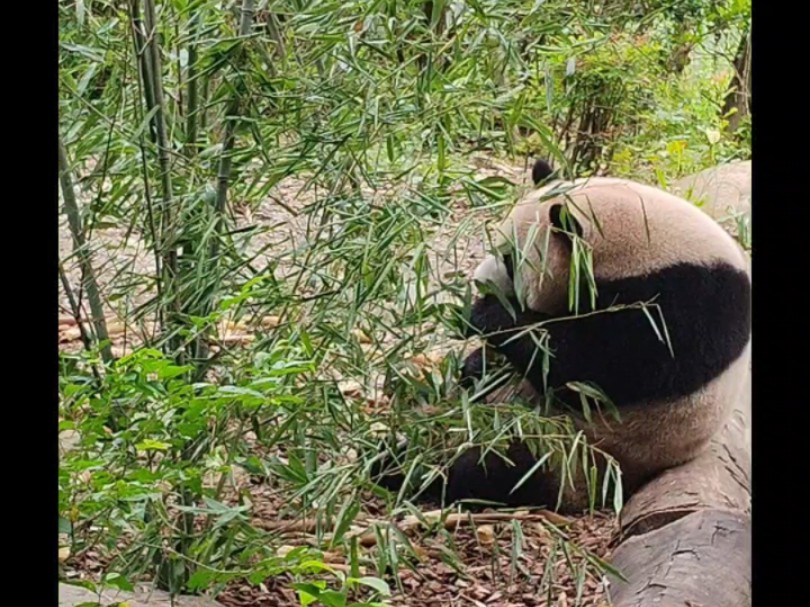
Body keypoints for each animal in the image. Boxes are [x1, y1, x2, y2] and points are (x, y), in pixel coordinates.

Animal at [370, 159, 748, 510]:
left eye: (510, 261)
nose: (479, 282)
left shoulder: (682, 304)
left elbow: (591, 368)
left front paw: (483, 314)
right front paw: (475, 354)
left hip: (582, 449)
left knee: (500, 466)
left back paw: (406, 468)